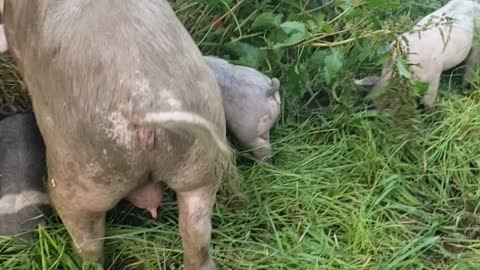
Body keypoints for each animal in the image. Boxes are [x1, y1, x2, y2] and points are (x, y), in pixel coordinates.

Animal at [352, 0, 480, 110]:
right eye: (371, 101)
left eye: (388, 104)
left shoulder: (435, 75)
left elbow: (429, 101)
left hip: (476, 42)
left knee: (471, 64)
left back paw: (466, 88)